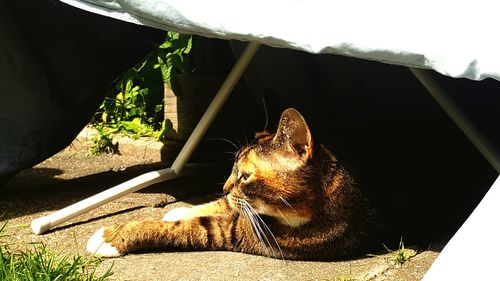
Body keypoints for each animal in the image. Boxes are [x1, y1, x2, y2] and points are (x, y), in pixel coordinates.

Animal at [87, 107, 376, 260]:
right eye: (234, 169)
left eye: (245, 175)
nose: (225, 187)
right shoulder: (238, 210)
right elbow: (219, 204)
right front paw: (179, 210)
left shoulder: (238, 231)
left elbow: (183, 227)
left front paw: (110, 237)